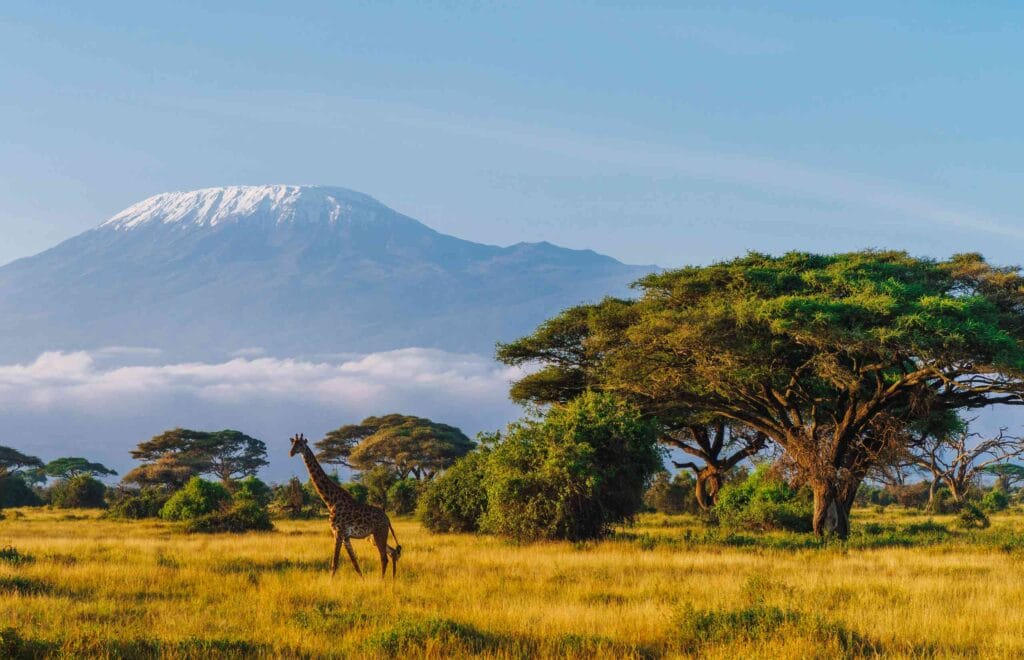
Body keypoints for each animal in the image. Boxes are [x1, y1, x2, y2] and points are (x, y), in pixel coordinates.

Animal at [289, 433, 401, 578]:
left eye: (301, 445)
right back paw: (392, 579)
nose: (291, 453)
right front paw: (362, 579)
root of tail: (387, 519)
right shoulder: (346, 536)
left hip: (379, 533)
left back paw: (382, 580)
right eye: (292, 444)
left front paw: (330, 582)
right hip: (374, 537)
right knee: (393, 552)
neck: (331, 501)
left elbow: (334, 564)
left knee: (384, 557)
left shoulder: (338, 532)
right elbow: (355, 563)